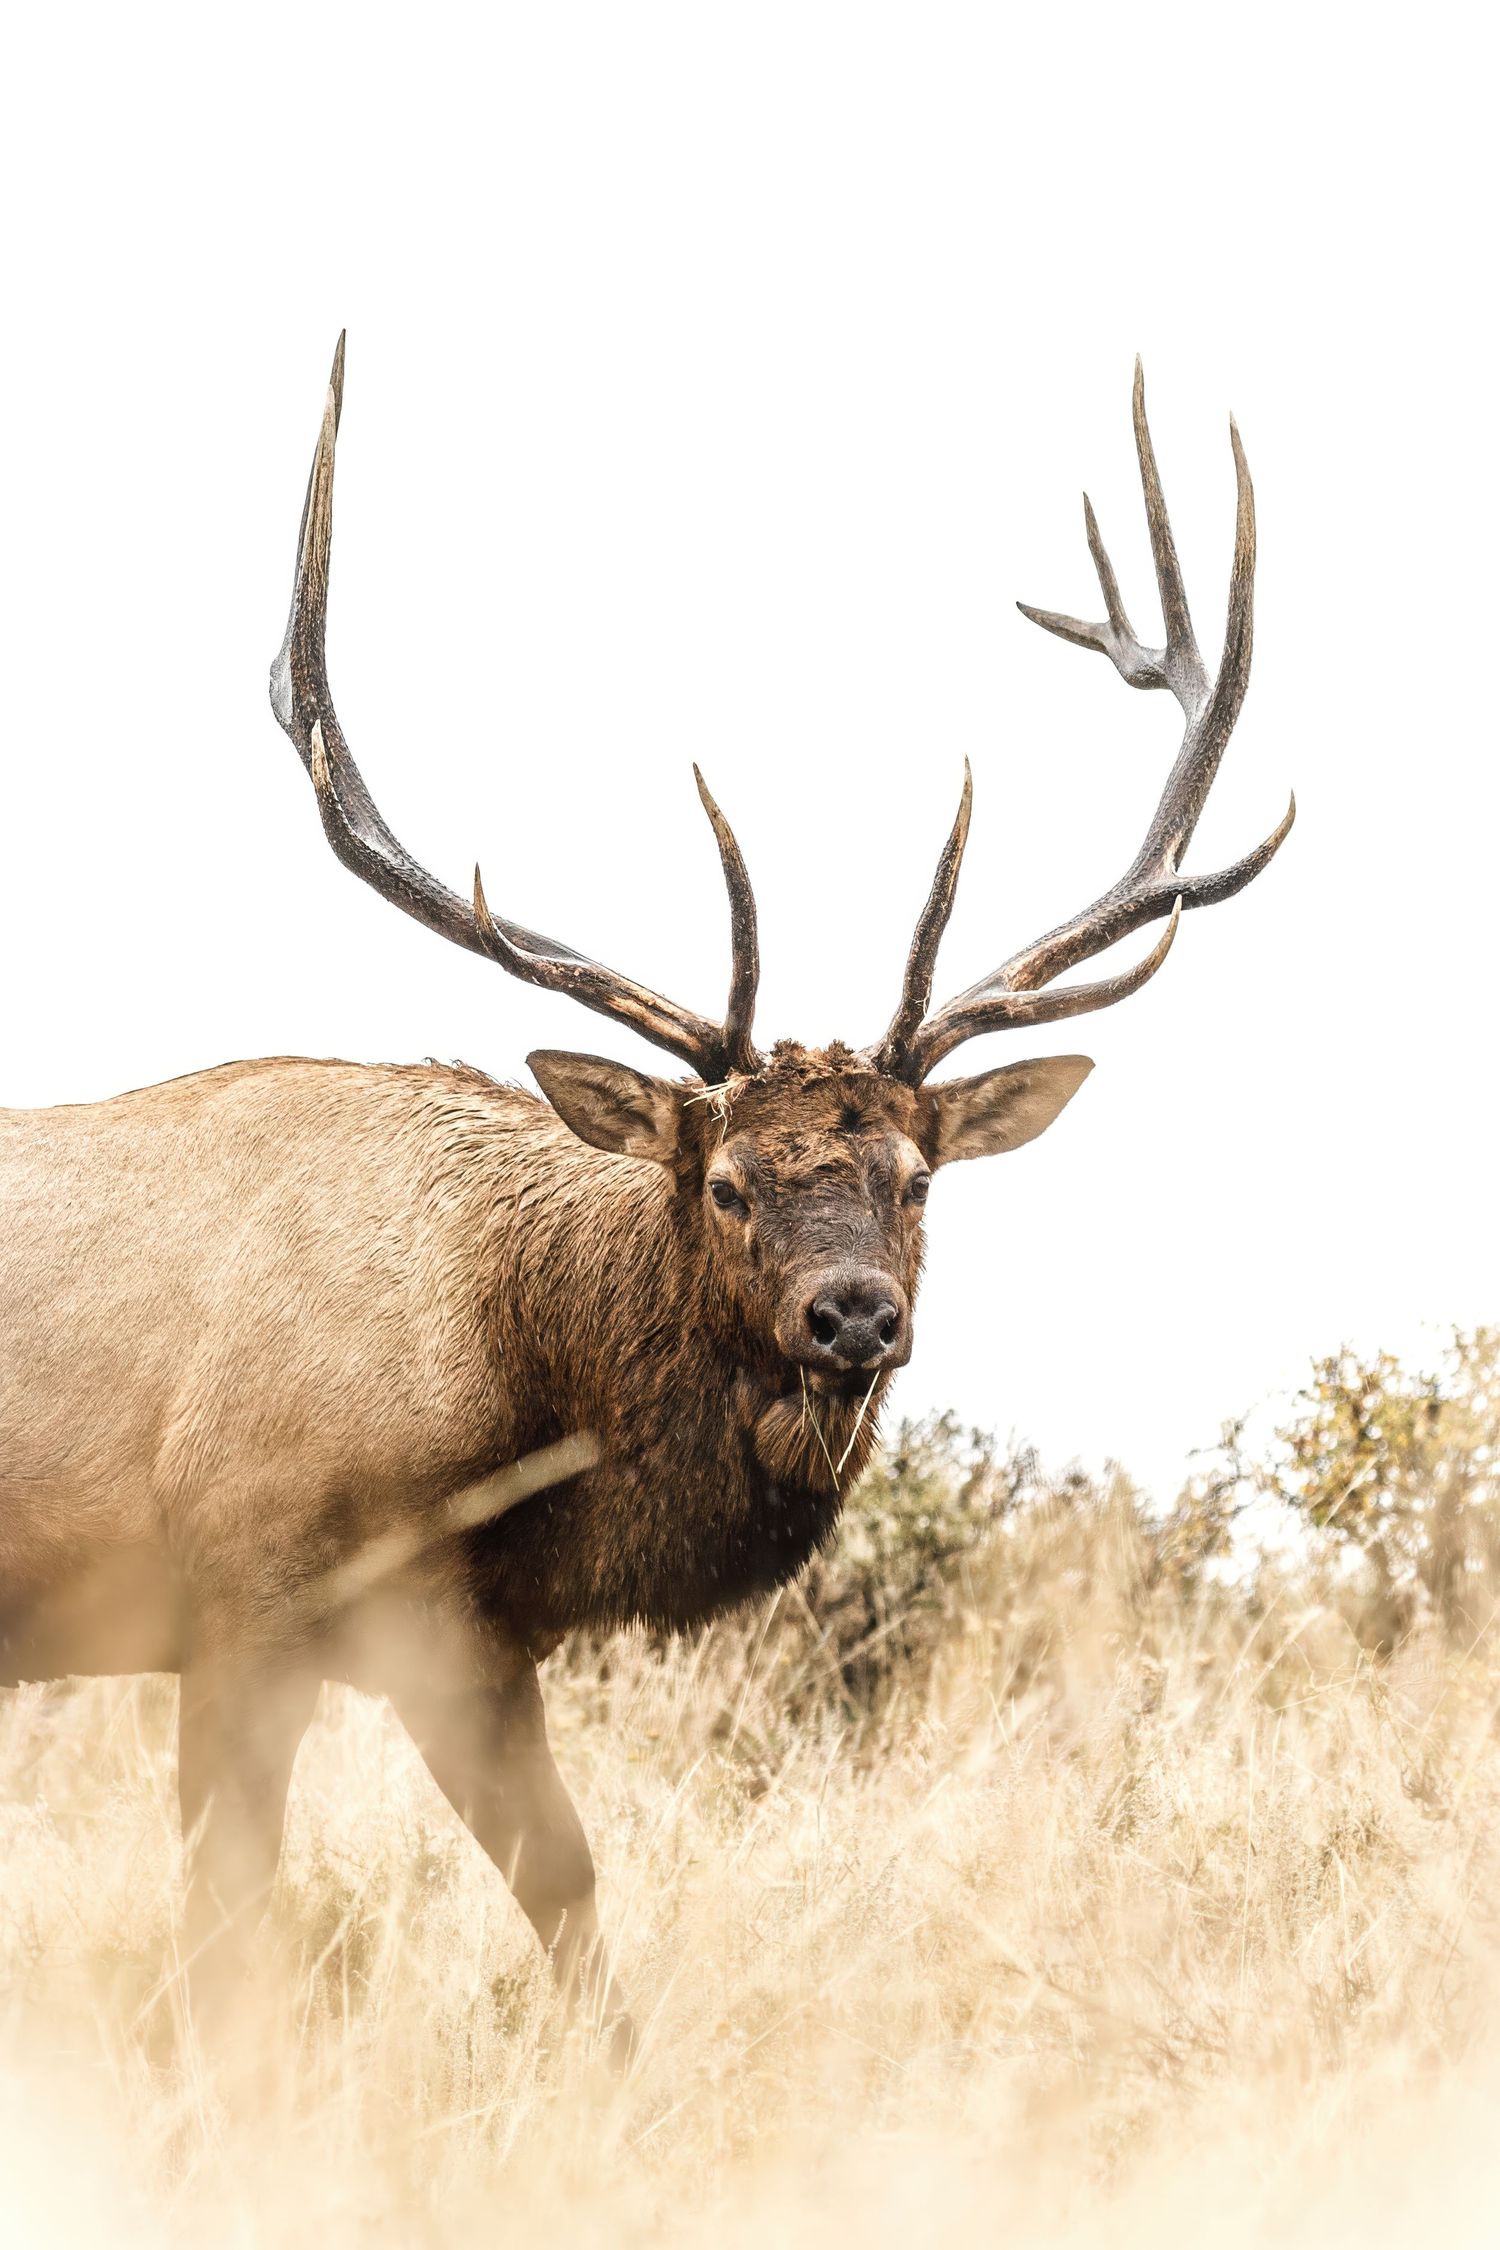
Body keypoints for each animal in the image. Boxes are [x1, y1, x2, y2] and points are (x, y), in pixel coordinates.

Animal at [0, 341, 1291, 2057]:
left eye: (917, 1176)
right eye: (728, 1182)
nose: (855, 1313)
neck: (506, 1402)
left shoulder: (471, 1641)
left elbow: (567, 1885)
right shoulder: (239, 1587)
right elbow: (224, 1935)